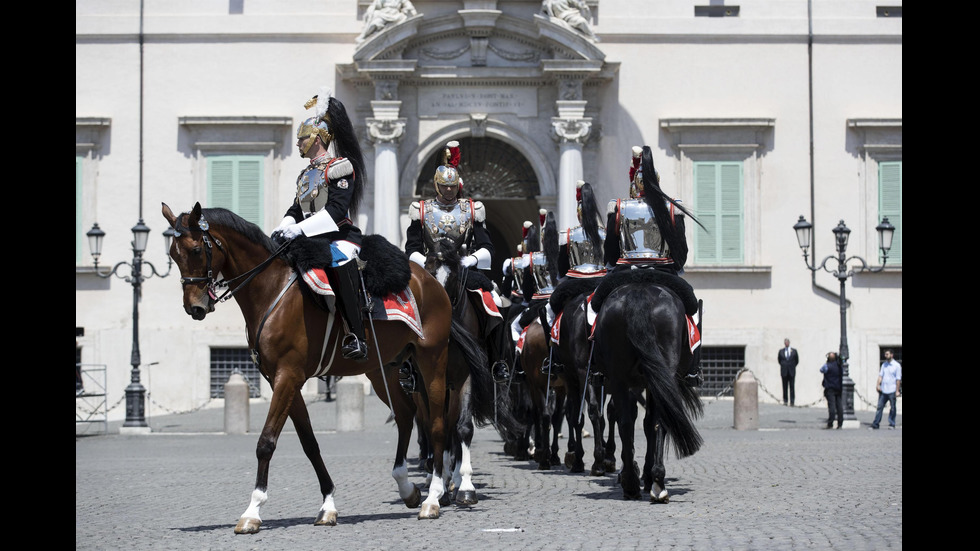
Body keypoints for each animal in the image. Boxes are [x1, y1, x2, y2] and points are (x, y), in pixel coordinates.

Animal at [165, 204, 460, 536]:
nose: (195, 307)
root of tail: (430, 280)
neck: (271, 290)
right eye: (173, 254)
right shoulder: (282, 380)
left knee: (436, 423)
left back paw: (433, 498)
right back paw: (406, 487)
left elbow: (266, 442)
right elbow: (309, 444)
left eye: (194, 250)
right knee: (406, 414)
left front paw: (252, 511)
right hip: (382, 368)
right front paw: (328, 505)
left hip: (431, 359)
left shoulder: (288, 376)